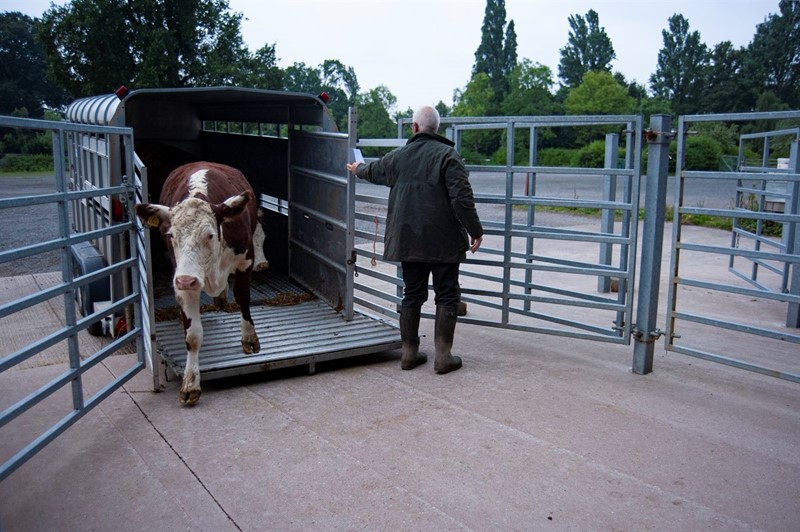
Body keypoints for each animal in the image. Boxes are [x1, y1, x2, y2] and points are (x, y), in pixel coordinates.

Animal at [136, 160, 260, 406]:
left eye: (210, 235)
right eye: (171, 235)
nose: (186, 280)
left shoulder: (246, 260)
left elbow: (243, 298)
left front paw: (249, 337)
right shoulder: (183, 279)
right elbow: (192, 336)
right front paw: (190, 383)